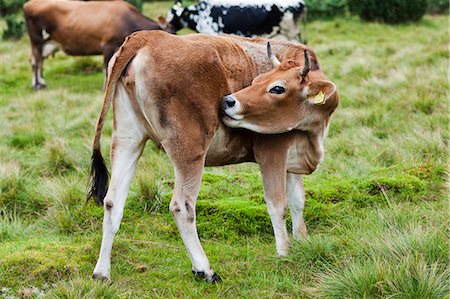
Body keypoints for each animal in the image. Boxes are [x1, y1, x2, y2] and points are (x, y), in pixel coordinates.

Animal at [23, 0, 174, 90]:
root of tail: (29, 4)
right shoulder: (108, 46)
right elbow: (107, 68)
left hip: (45, 43)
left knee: (40, 61)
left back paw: (42, 82)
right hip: (36, 40)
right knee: (35, 61)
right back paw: (36, 85)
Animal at [88, 30, 340, 284]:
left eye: (277, 88)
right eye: (258, 81)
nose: (228, 101)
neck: (313, 132)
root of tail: (149, 37)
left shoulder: (293, 159)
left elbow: (298, 200)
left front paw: (303, 241)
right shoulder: (272, 153)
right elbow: (278, 205)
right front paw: (285, 253)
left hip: (128, 139)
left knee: (113, 202)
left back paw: (102, 272)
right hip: (190, 148)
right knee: (182, 207)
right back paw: (204, 269)